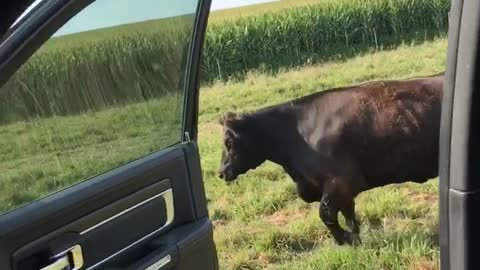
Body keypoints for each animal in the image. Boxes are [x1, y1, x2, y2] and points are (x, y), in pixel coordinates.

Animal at [219, 73, 444, 246]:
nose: (221, 172)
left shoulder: (344, 182)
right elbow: (348, 214)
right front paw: (354, 239)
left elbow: (325, 213)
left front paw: (345, 238)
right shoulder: (341, 190)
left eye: (229, 141)